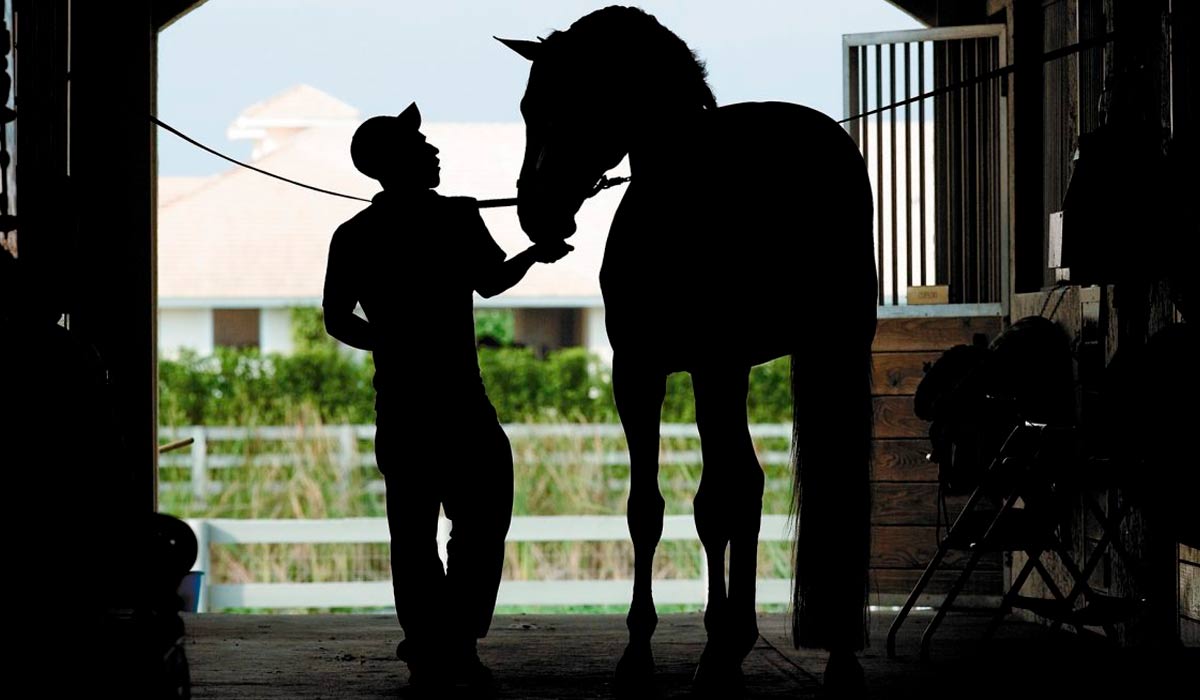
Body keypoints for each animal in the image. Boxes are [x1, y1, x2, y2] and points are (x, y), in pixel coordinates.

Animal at [501, 5, 878, 691]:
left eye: (572, 102)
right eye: (526, 106)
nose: (536, 215)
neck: (680, 200)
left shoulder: (707, 366)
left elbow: (709, 503)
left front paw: (705, 646)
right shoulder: (641, 373)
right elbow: (648, 508)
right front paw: (646, 651)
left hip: (778, 361)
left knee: (746, 489)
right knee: (751, 488)